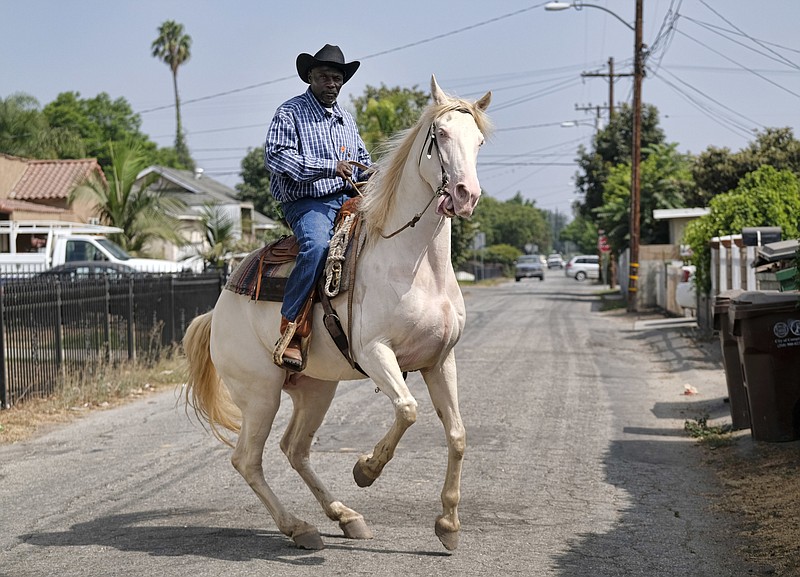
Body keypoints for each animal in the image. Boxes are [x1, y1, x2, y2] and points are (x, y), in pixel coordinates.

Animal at [184, 76, 490, 548]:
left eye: (478, 140)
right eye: (439, 137)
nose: (465, 195)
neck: (416, 265)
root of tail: (216, 312)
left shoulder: (440, 360)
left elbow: (456, 435)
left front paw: (448, 525)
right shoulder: (375, 352)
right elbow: (407, 410)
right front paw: (366, 469)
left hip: (315, 389)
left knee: (294, 449)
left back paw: (345, 516)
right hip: (260, 393)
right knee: (247, 459)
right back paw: (300, 527)